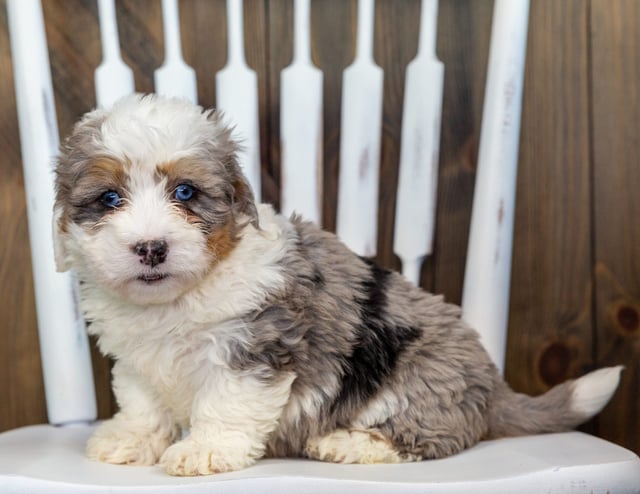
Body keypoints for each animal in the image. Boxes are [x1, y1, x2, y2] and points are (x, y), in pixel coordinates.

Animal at [52, 94, 624, 476]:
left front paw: (204, 449)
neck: (176, 299)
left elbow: (225, 403)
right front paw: (129, 441)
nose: (151, 248)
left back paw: (348, 444)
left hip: (414, 380)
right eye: (109, 198)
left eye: (186, 192)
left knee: (428, 436)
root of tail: (493, 386)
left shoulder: (256, 346)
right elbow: (142, 405)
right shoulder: (137, 360)